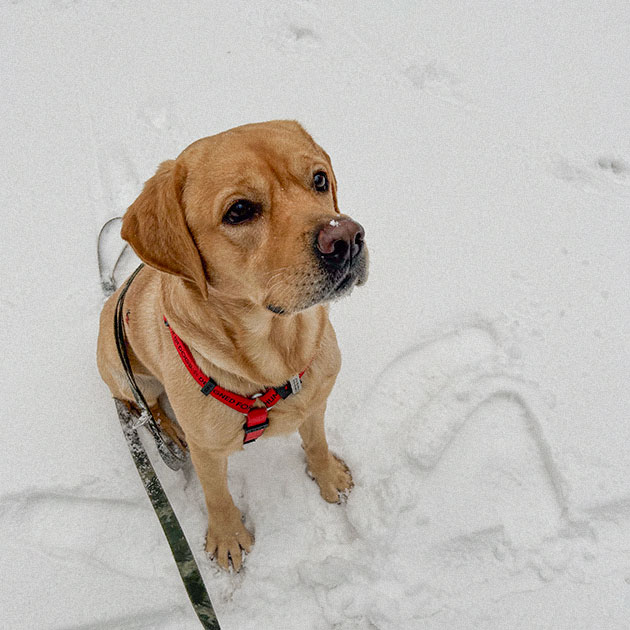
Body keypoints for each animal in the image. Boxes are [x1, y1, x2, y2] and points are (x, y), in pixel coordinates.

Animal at [96, 122, 368, 572]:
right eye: (239, 210)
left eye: (318, 179)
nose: (346, 237)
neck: (277, 353)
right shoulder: (208, 451)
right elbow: (216, 494)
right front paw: (227, 538)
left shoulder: (315, 402)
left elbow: (316, 442)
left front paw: (329, 477)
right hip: (126, 373)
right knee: (148, 406)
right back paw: (171, 433)